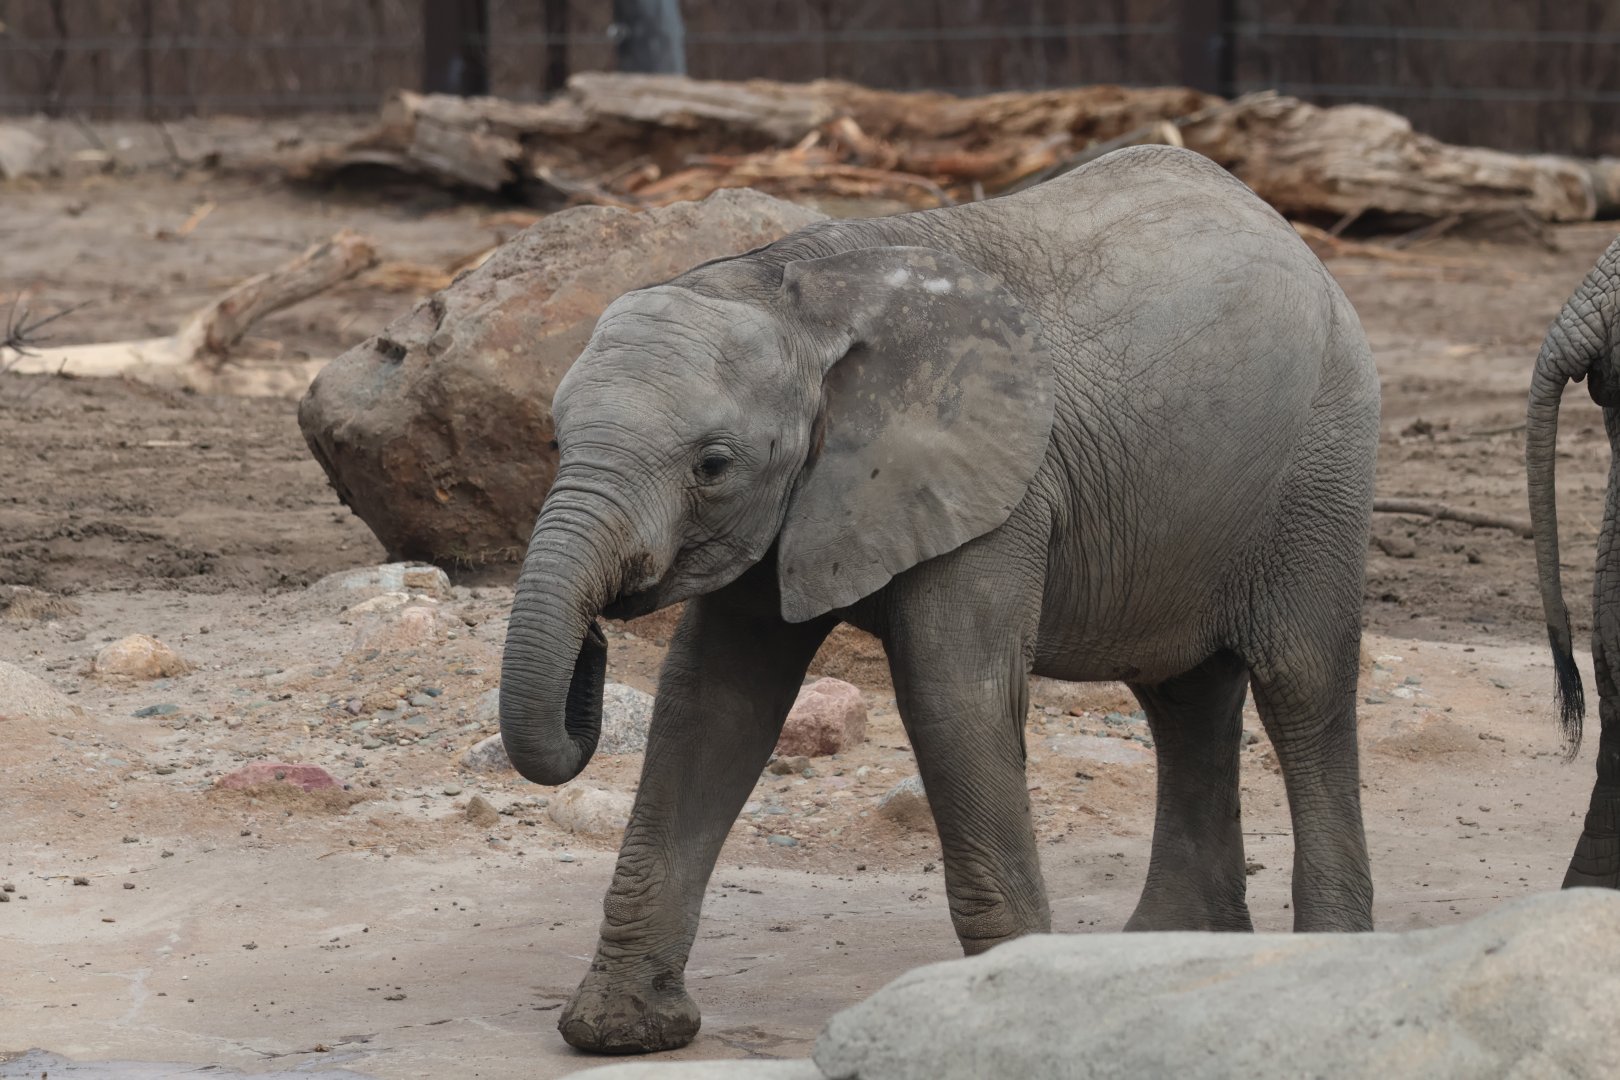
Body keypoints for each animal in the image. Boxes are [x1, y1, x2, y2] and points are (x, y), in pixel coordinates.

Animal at [498, 145, 1382, 1053]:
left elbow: (953, 697)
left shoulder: (996, 491)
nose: (597, 634)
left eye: (712, 465)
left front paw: (1006, 1016)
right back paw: (1166, 957)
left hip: (1321, 465)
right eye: (556, 440)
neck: (797, 296)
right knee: (1183, 696)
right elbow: (711, 704)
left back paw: (1327, 957)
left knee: (1302, 687)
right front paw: (620, 1032)